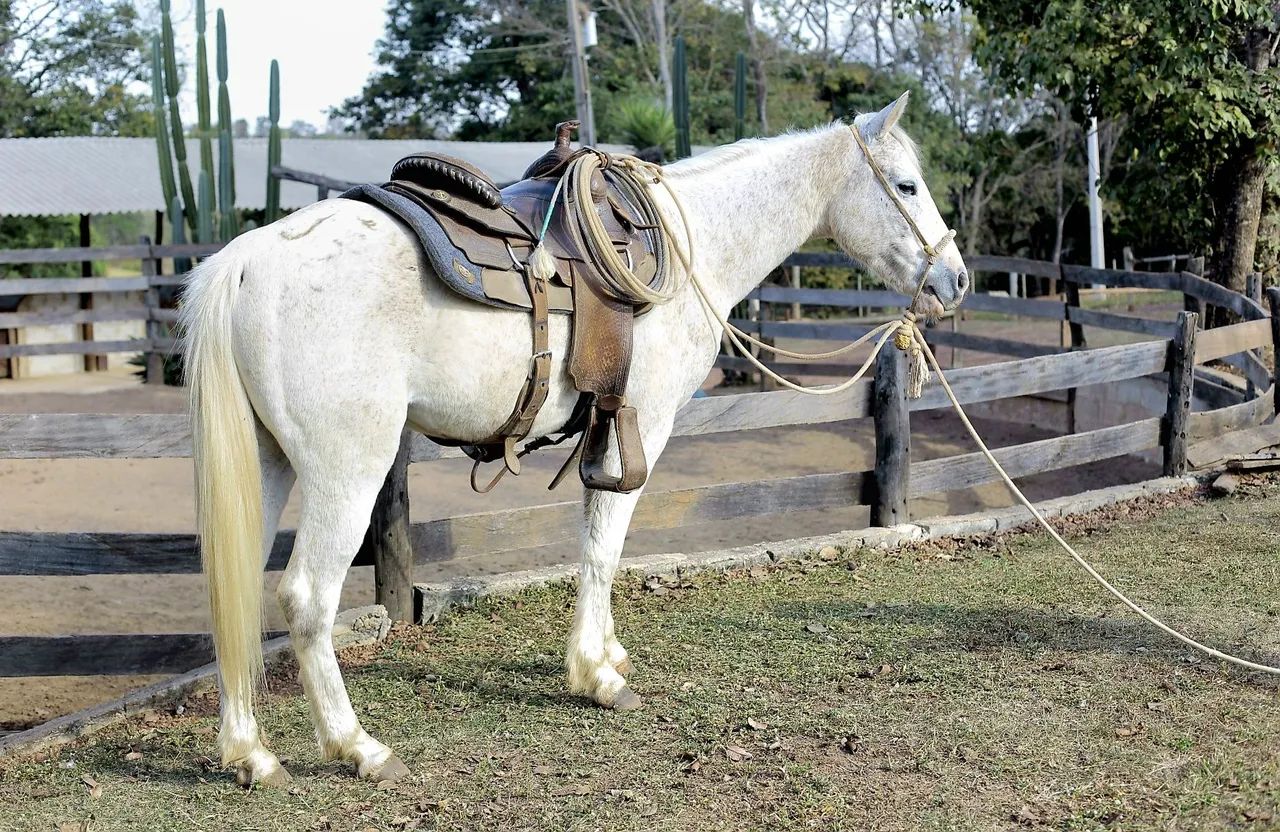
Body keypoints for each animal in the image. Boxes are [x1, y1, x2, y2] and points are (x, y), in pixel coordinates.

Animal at [181, 91, 969, 787]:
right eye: (906, 183)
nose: (956, 279)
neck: (690, 246)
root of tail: (246, 262)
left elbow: (599, 543)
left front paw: (608, 655)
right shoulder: (641, 424)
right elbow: (602, 547)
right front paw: (596, 675)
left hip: (268, 465)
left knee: (235, 593)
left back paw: (250, 753)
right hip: (350, 470)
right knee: (307, 598)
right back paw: (357, 746)